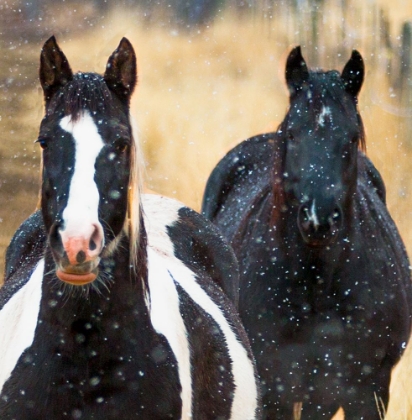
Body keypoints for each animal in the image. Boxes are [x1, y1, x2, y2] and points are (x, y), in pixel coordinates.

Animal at [202, 44, 412, 418]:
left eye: (352, 138)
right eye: (292, 134)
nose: (318, 217)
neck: (318, 285)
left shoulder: (368, 389)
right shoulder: (275, 390)